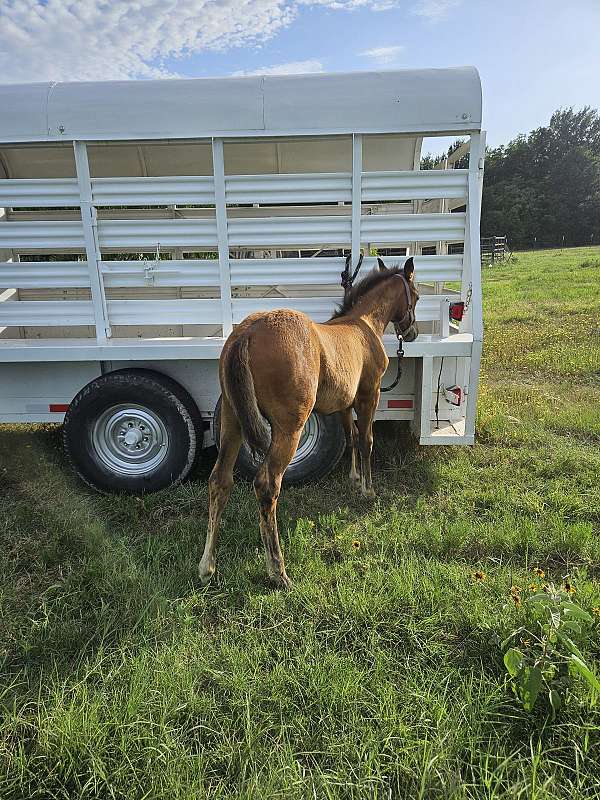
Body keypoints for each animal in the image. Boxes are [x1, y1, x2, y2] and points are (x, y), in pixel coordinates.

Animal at [199, 255, 419, 589]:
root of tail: (246, 334)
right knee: (267, 484)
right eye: (416, 296)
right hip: (289, 427)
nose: (413, 332)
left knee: (219, 481)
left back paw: (207, 565)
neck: (364, 324)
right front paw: (368, 490)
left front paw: (354, 479)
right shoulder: (370, 394)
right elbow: (366, 440)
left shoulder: (345, 402)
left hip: (232, 419)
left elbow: (350, 436)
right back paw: (278, 571)